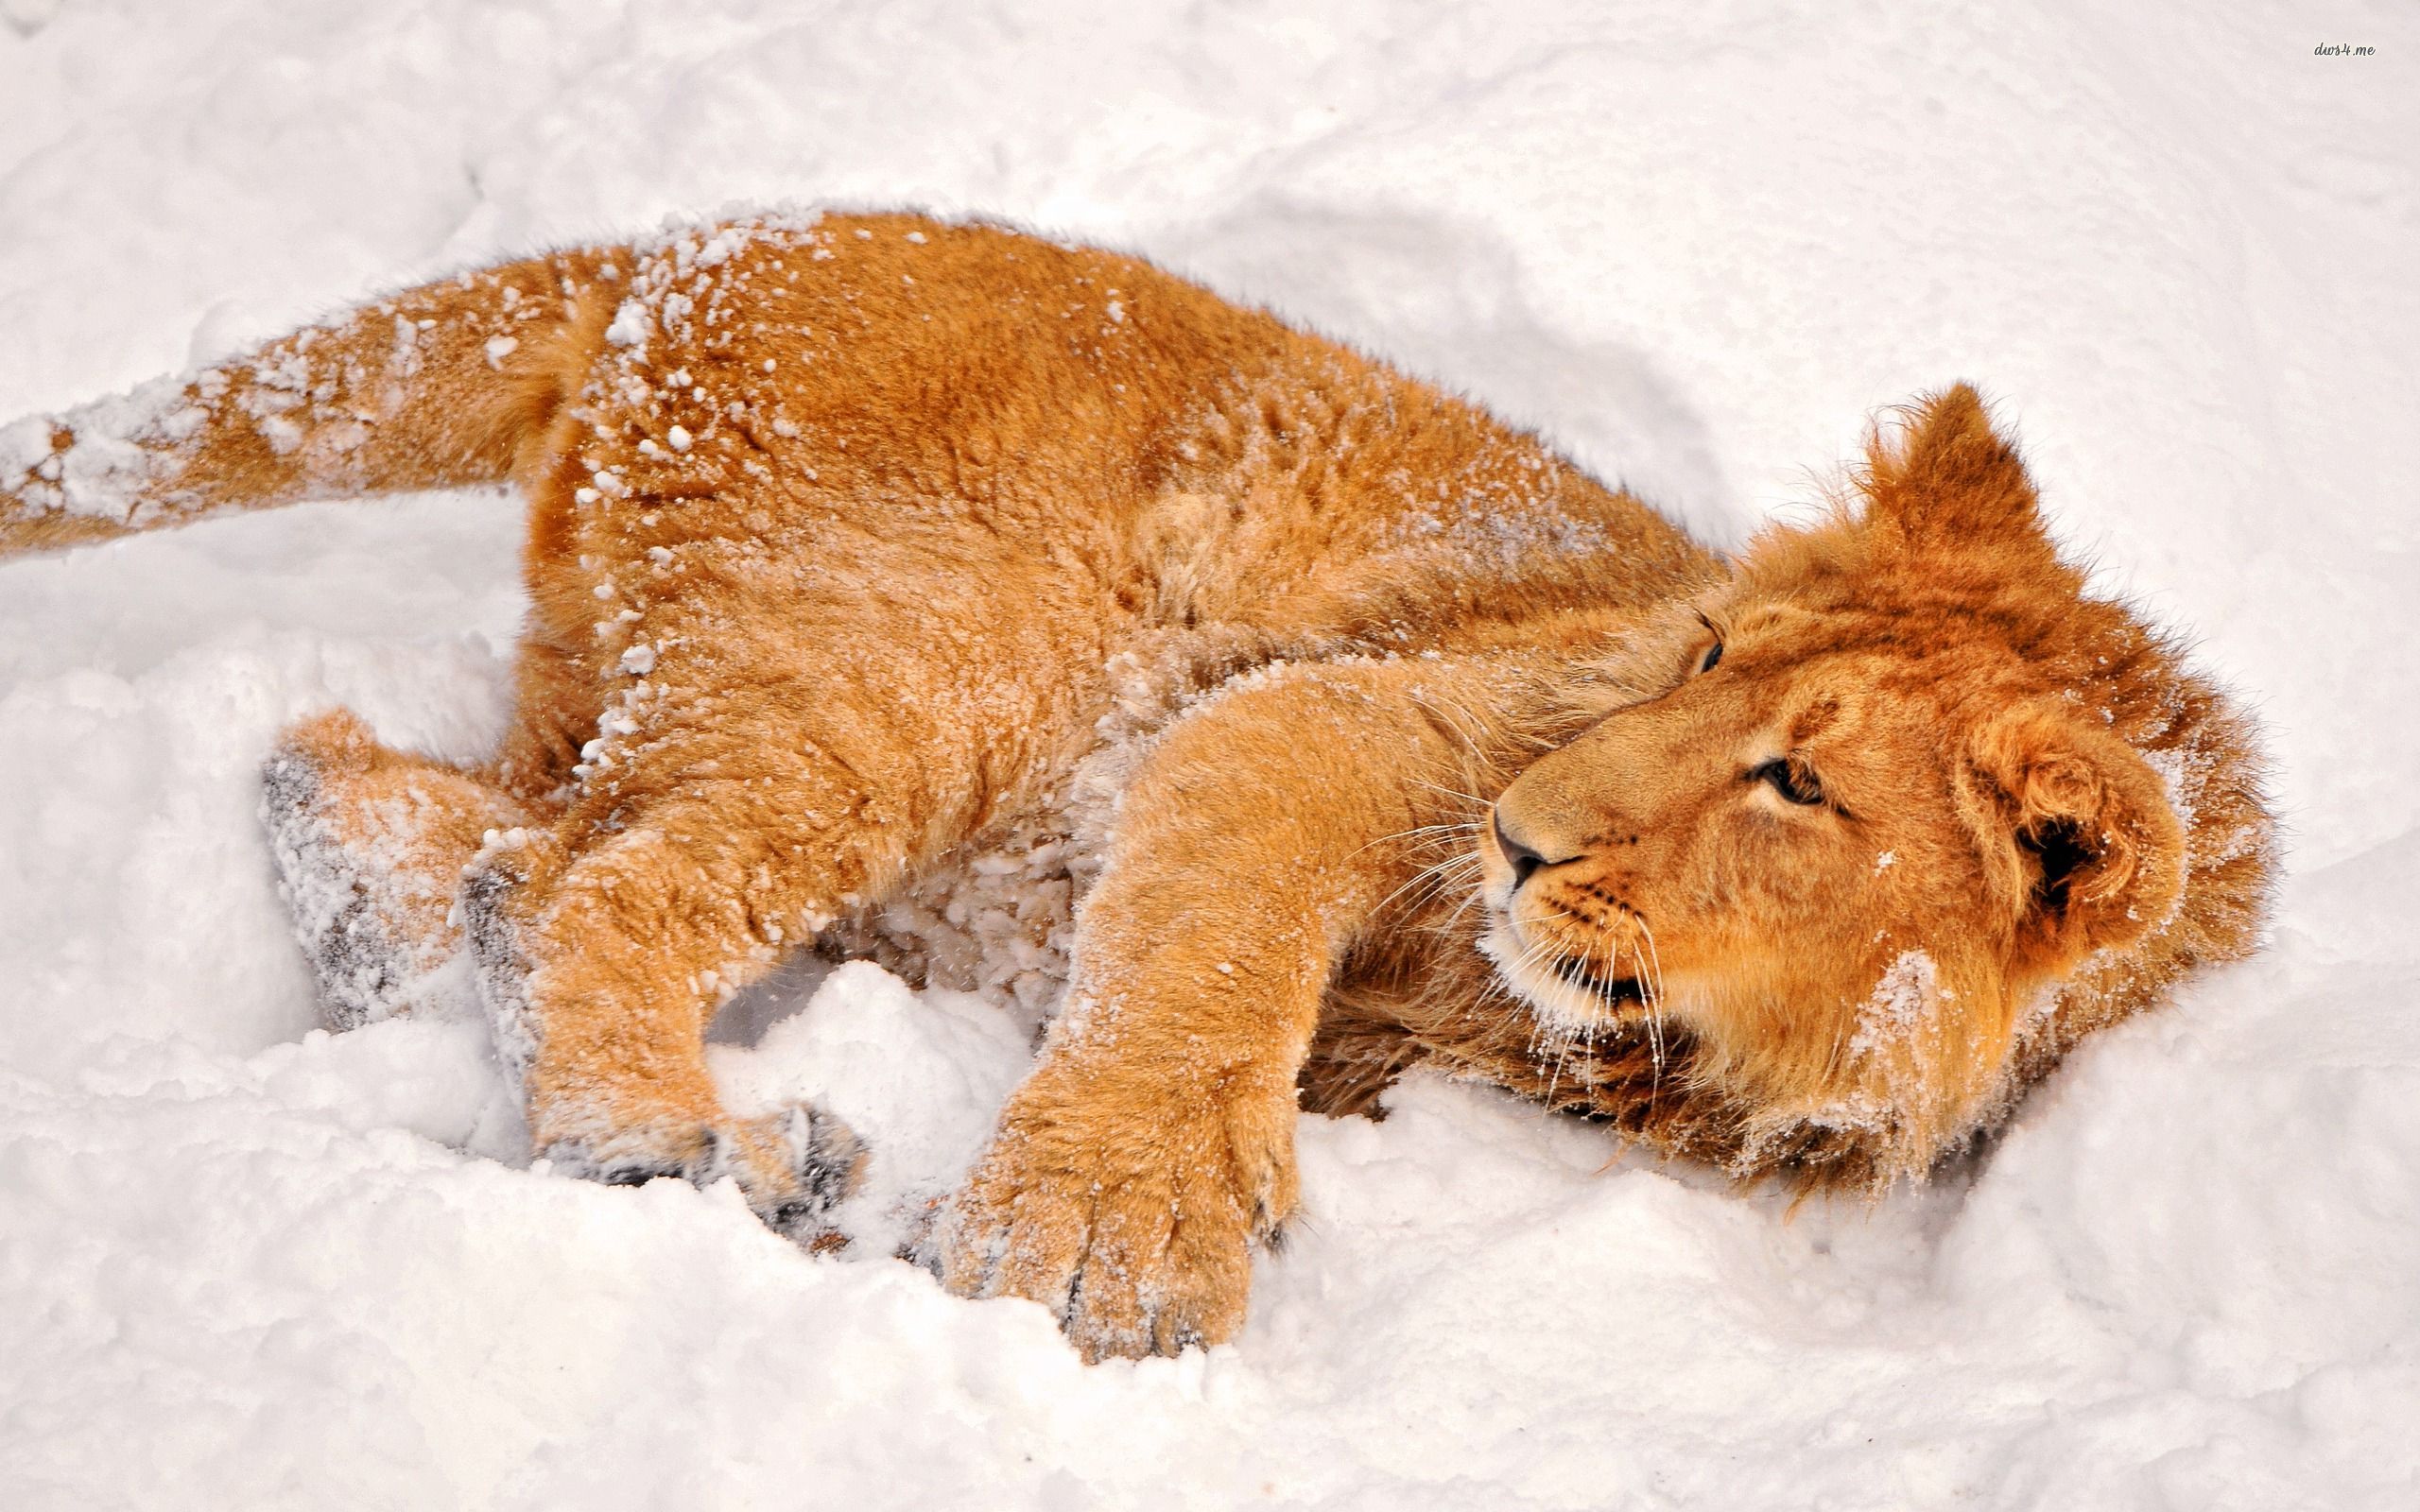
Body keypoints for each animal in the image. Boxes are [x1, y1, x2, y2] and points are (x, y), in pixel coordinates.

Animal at [0, 209, 2265, 1354]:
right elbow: (1214, 941)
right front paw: (1103, 1236)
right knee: (588, 885)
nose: (1523, 835)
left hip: (673, 676)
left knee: (409, 806)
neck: (1686, 1054)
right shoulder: (1353, 716)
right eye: (1706, 659)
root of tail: (705, 237)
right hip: (940, 657)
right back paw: (668, 1147)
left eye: (1797, 786)